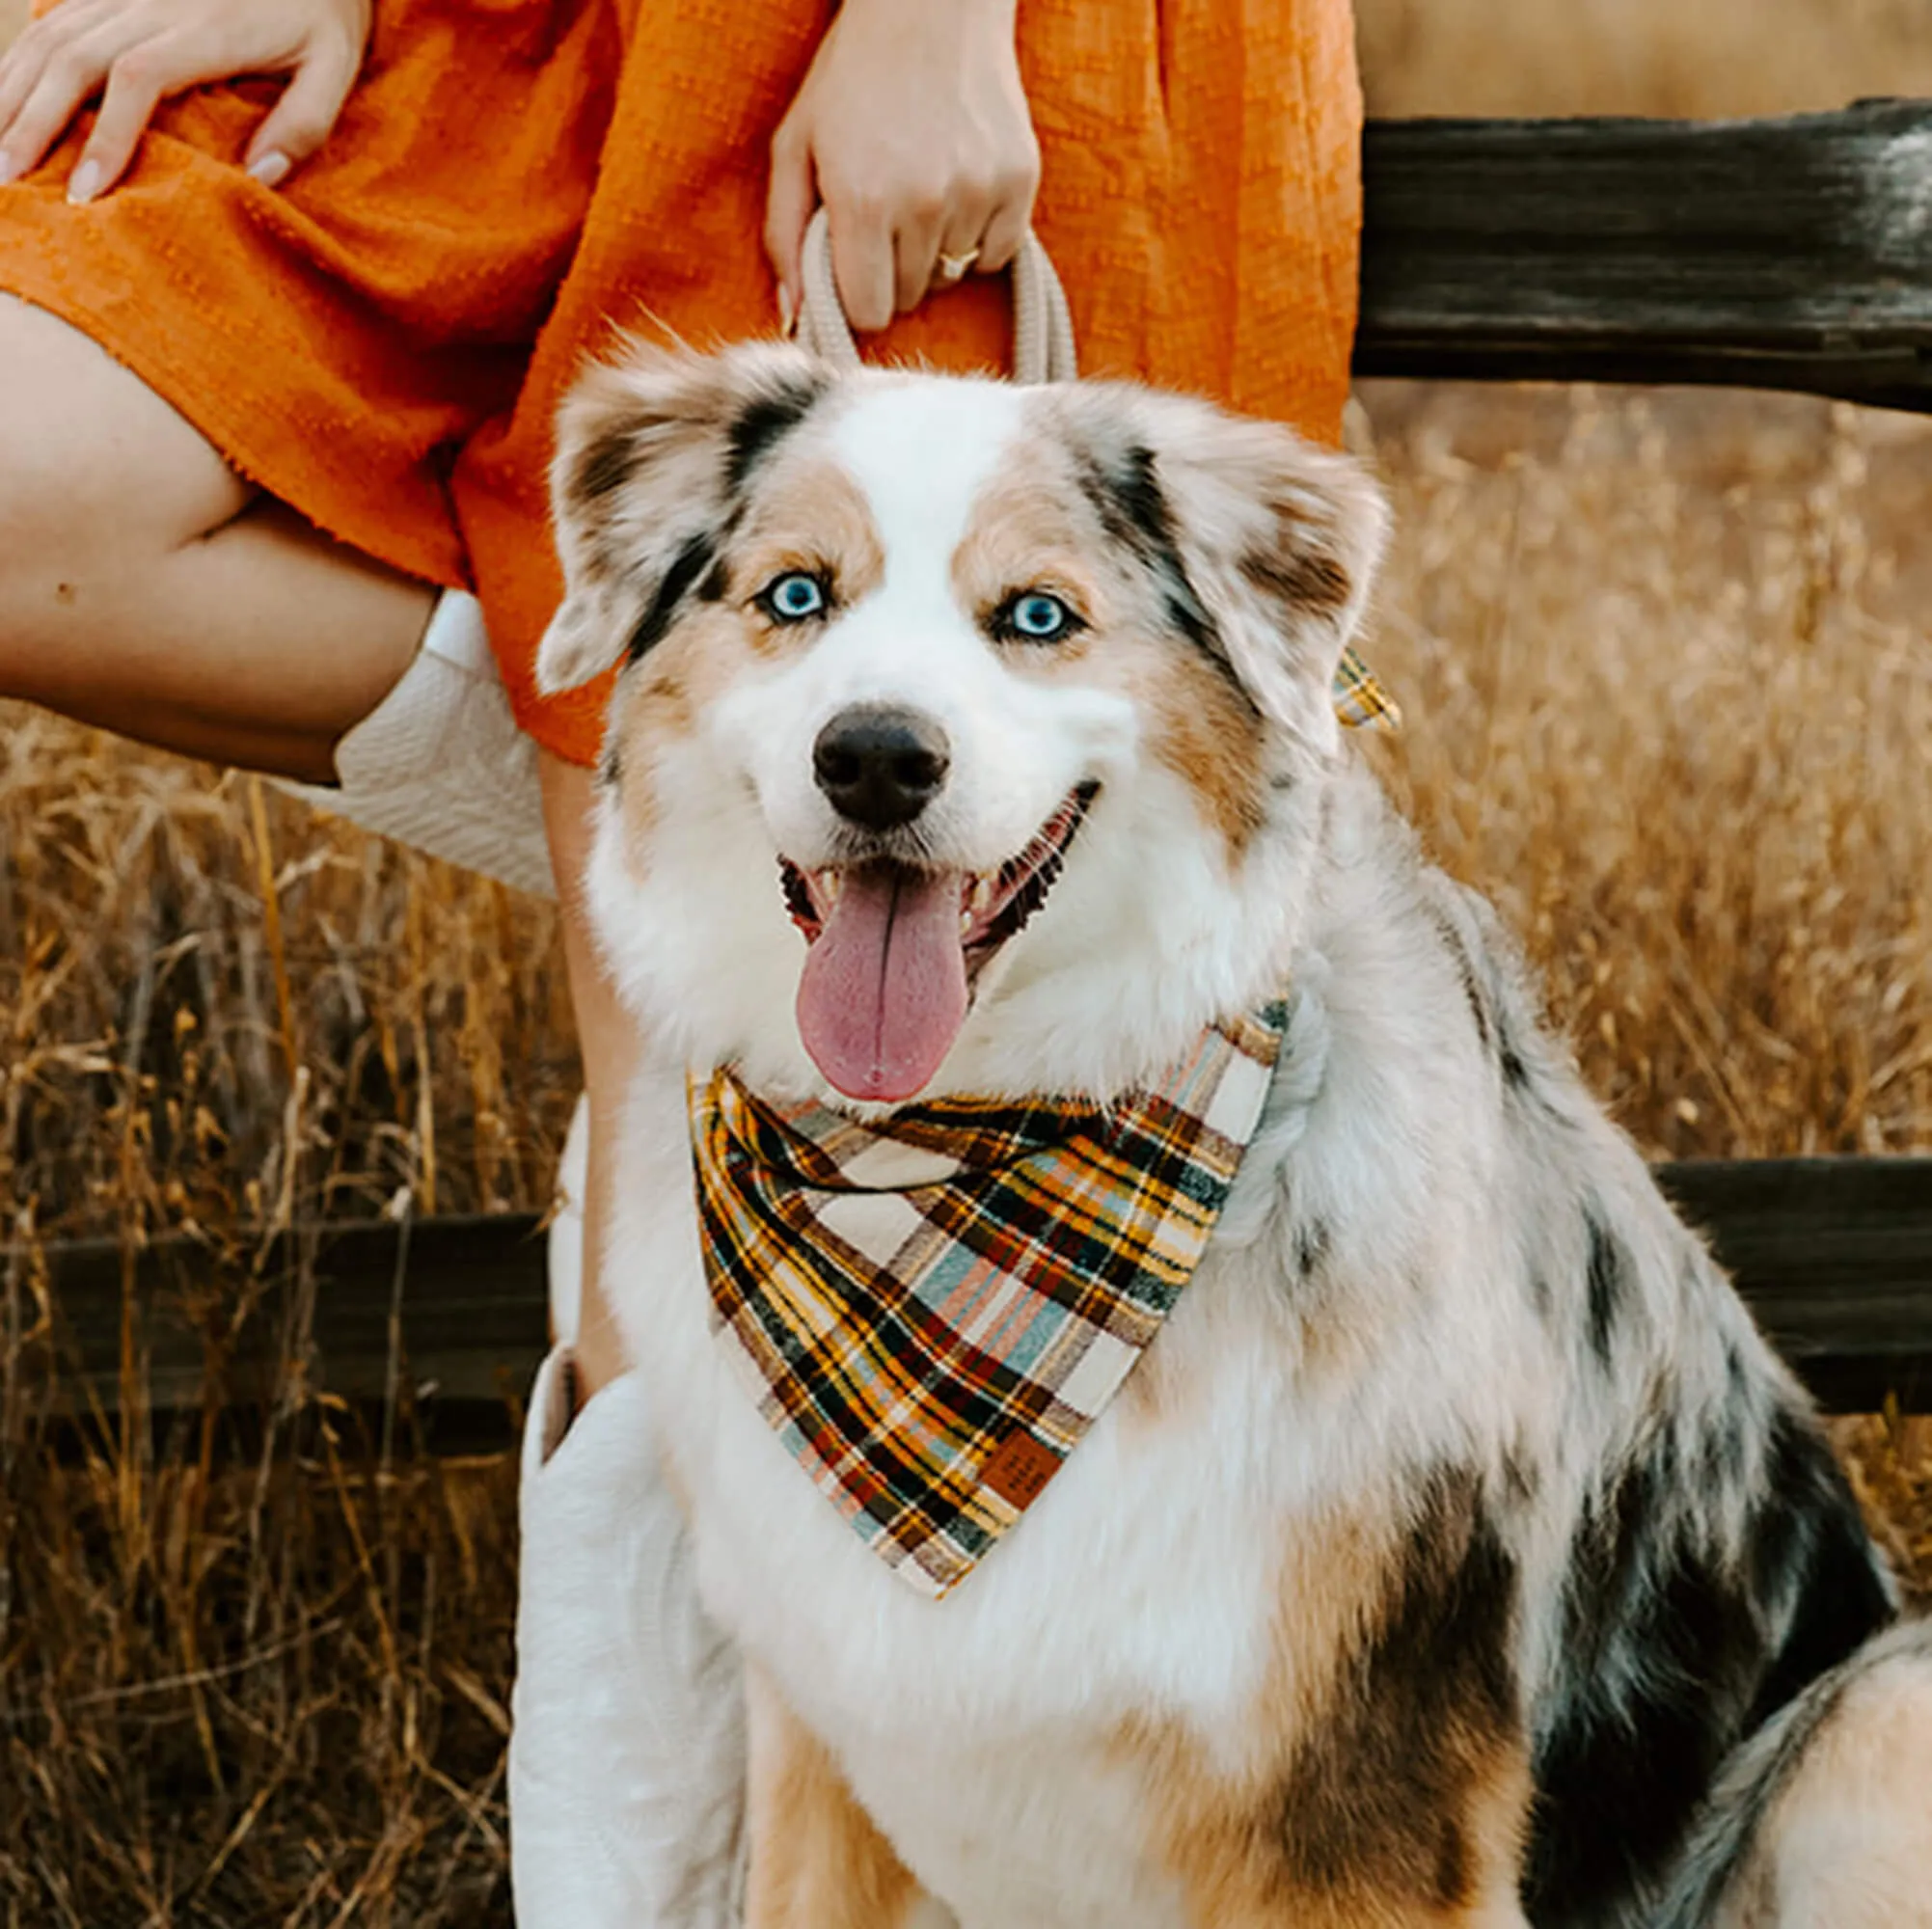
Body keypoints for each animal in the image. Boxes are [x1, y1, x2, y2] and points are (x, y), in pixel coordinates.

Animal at [532, 347, 1932, 1929]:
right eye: (793, 594)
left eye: (1037, 616)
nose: (875, 757)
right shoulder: (822, 1746)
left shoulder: (1368, 1816)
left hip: (1881, 1711)